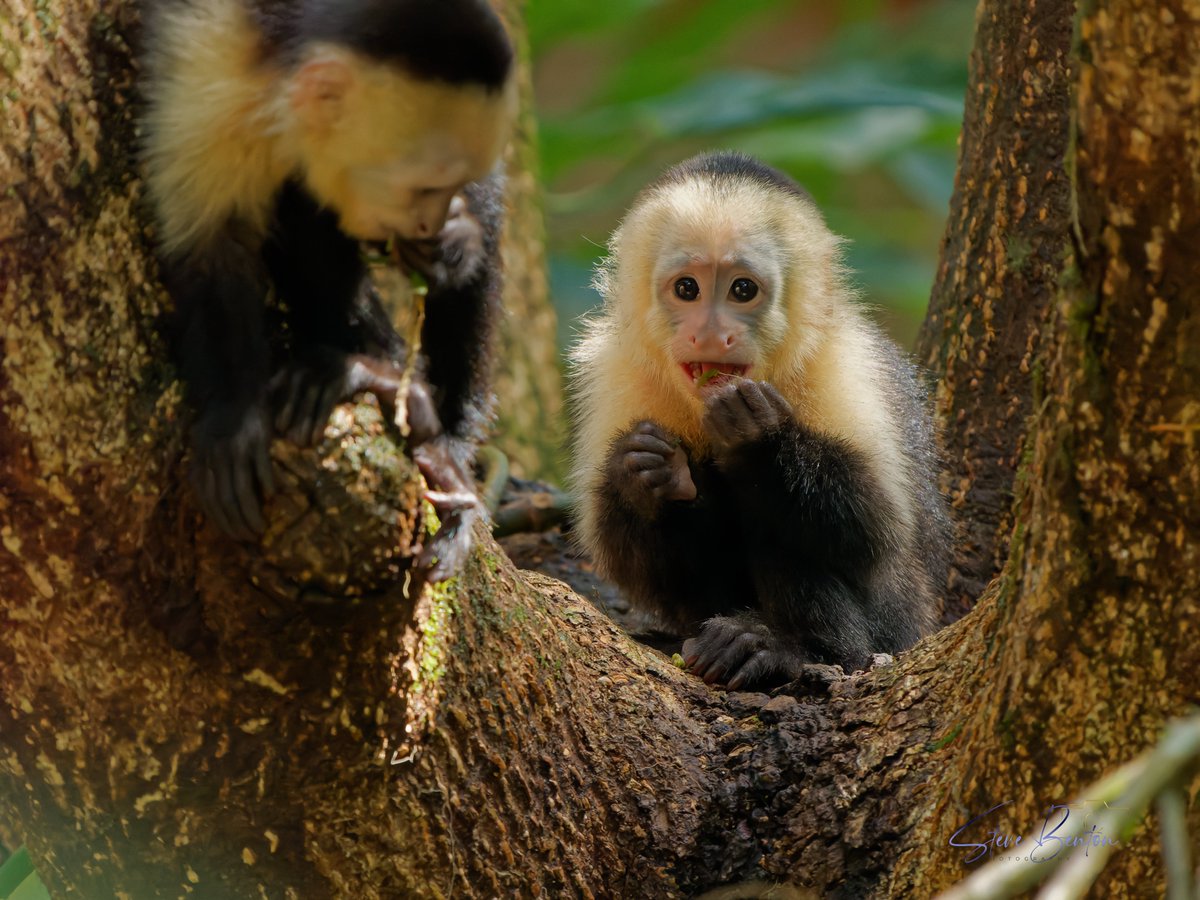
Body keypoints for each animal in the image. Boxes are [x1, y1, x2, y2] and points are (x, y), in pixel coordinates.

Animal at [139, 0, 517, 577]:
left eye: (445, 188)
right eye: (422, 188)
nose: (429, 224)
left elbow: (484, 217)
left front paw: (457, 241)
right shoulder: (206, 72)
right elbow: (213, 245)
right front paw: (233, 419)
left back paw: (431, 425)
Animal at [568, 151, 952, 690]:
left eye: (742, 289)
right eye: (687, 288)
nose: (712, 334)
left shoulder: (845, 364)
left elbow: (875, 532)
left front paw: (756, 439)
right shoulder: (615, 372)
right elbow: (633, 567)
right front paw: (641, 471)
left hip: (902, 626)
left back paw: (790, 649)